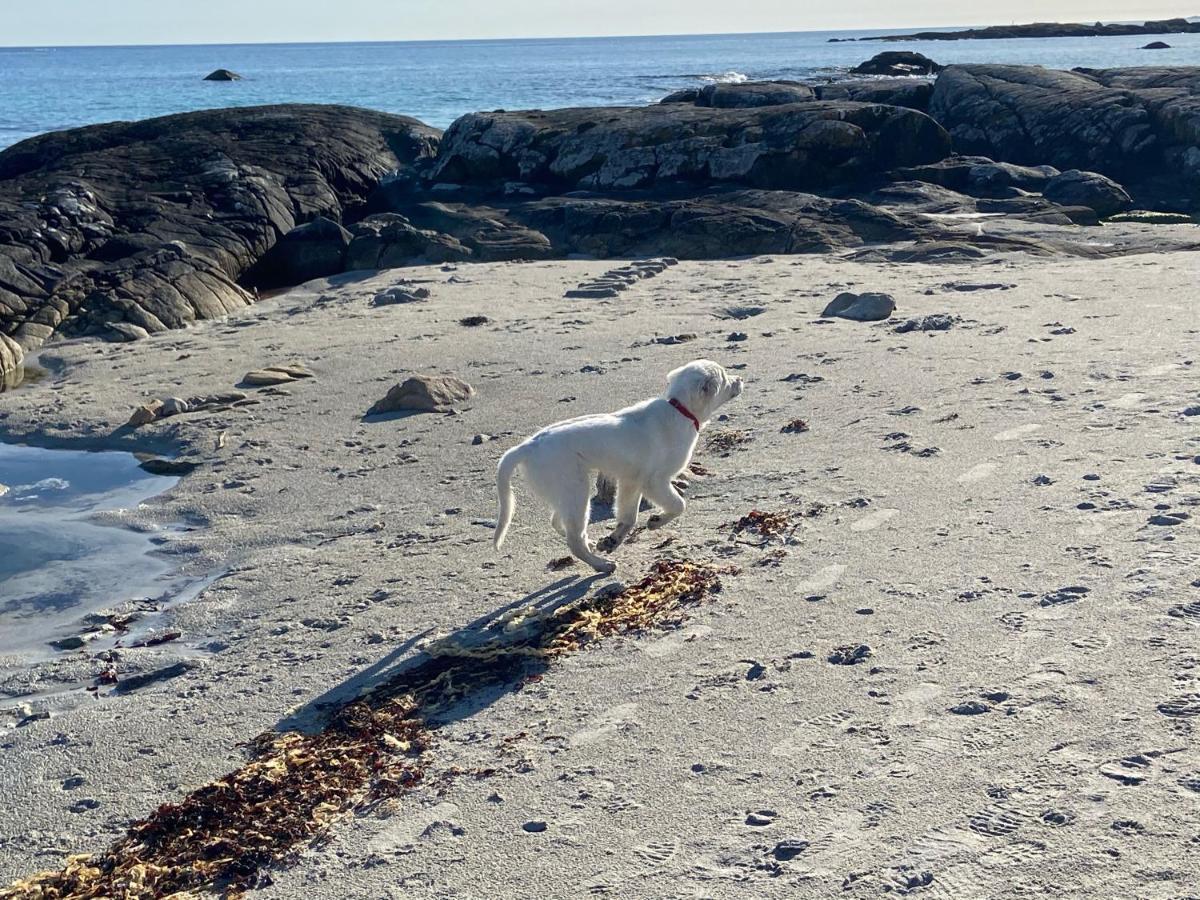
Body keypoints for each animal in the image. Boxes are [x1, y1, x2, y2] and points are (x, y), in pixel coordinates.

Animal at [494, 357, 739, 571]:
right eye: (725, 377)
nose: (740, 379)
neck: (680, 410)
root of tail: (528, 445)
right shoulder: (654, 481)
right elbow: (679, 505)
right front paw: (656, 521)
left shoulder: (630, 481)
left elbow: (628, 517)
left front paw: (613, 539)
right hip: (575, 489)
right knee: (574, 540)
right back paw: (601, 565)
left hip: (566, 491)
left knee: (559, 523)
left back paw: (593, 546)